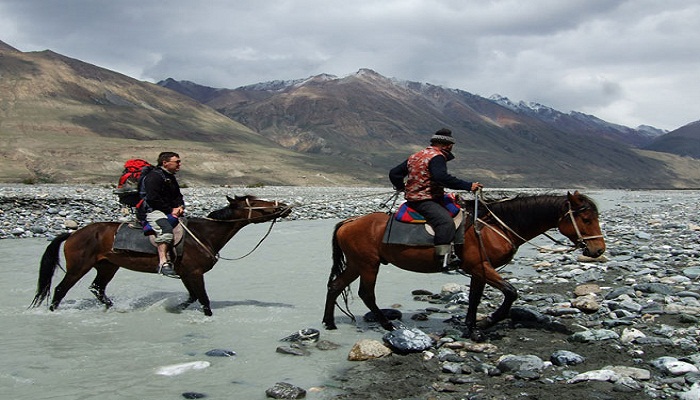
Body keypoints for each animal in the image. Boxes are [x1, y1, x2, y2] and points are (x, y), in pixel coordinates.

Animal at [30, 195, 290, 318]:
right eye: (257, 202)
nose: (284, 206)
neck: (204, 234)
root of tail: (73, 233)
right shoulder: (194, 273)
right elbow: (203, 300)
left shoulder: (186, 274)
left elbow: (192, 297)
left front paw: (175, 308)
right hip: (79, 267)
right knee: (60, 289)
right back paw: (52, 312)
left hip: (108, 265)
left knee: (97, 288)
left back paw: (113, 308)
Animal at [322, 191, 600, 340]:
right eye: (586, 218)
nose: (598, 250)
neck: (494, 226)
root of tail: (349, 221)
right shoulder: (480, 267)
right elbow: (511, 293)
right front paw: (488, 322)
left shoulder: (479, 270)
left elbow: (475, 299)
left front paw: (471, 328)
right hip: (368, 265)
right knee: (366, 294)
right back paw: (388, 325)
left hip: (357, 264)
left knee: (335, 286)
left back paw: (329, 322)